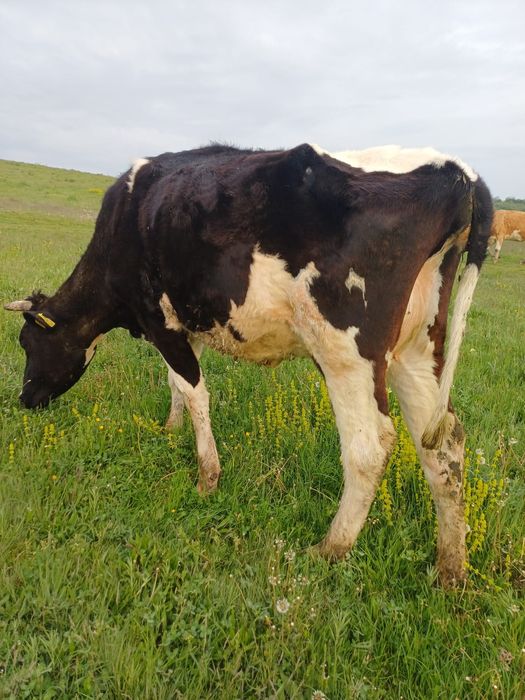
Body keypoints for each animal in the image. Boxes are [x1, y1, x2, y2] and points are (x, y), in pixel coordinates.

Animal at [5, 143, 493, 586]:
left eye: (27, 342)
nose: (25, 399)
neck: (127, 219)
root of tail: (459, 172)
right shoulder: (189, 322)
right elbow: (176, 384)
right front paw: (171, 428)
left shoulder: (159, 319)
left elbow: (194, 391)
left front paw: (207, 477)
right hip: (419, 350)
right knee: (444, 446)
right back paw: (451, 571)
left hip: (346, 352)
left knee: (369, 449)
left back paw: (330, 548)